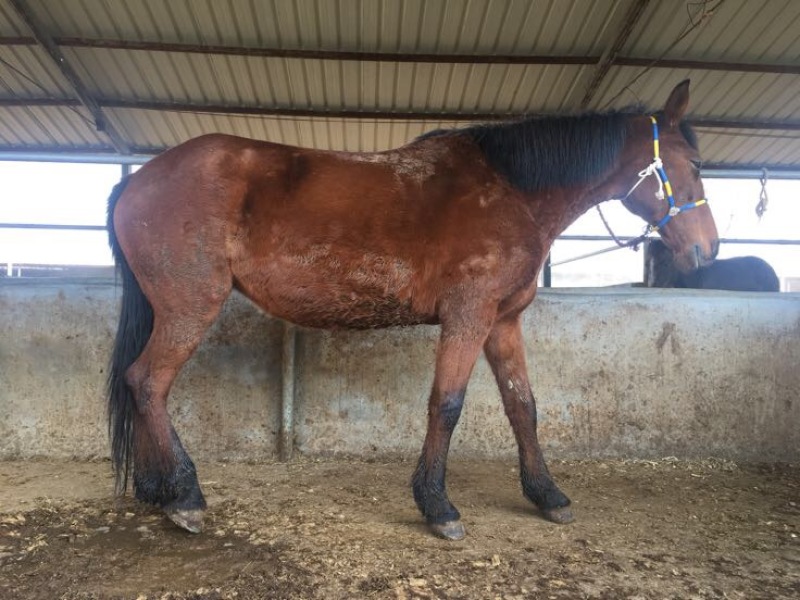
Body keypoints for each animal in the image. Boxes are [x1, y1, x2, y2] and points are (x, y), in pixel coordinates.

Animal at [106, 80, 718, 541]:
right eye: (693, 162)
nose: (706, 250)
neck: (512, 191)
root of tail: (139, 180)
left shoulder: (502, 323)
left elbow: (523, 407)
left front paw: (547, 495)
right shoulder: (468, 317)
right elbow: (446, 405)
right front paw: (437, 507)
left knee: (139, 385)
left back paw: (156, 491)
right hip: (190, 306)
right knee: (148, 382)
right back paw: (185, 496)